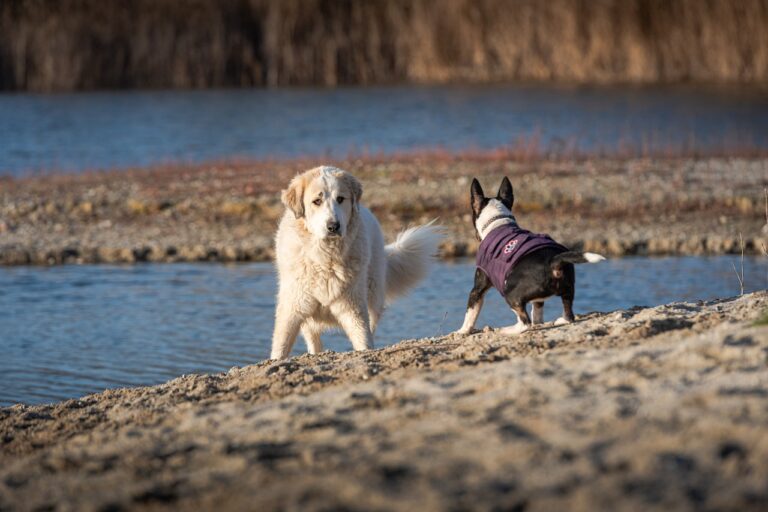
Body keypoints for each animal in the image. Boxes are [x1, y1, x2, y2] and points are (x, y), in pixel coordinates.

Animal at [270, 166, 440, 358]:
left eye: (340, 199)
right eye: (316, 201)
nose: (333, 226)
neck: (325, 258)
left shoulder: (353, 308)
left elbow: (363, 341)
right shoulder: (292, 309)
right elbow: (280, 348)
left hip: (372, 296)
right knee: (313, 338)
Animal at [456, 176, 608, 336]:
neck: (498, 222)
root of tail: (553, 262)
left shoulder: (478, 288)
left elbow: (471, 312)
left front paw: (462, 331)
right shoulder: (538, 300)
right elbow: (537, 310)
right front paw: (539, 323)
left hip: (509, 293)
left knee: (525, 323)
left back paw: (507, 330)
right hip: (568, 290)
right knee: (568, 315)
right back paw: (560, 320)